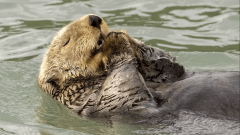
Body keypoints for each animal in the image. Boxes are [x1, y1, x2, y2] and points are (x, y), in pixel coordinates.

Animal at [38, 13, 239, 119]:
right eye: (66, 41)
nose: (94, 19)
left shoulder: (170, 73)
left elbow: (170, 68)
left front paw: (122, 34)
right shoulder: (88, 99)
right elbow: (123, 89)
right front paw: (115, 42)